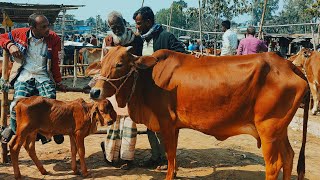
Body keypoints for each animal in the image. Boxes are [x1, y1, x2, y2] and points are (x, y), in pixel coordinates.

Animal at [89, 46, 308, 180]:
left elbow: (170, 154)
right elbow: (173, 155)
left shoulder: (166, 122)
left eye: (119, 64)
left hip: (268, 129)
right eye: (102, 63)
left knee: (274, 165)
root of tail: (289, 65)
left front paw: (169, 175)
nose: (94, 91)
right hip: (280, 130)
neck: (148, 78)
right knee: (289, 157)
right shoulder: (174, 126)